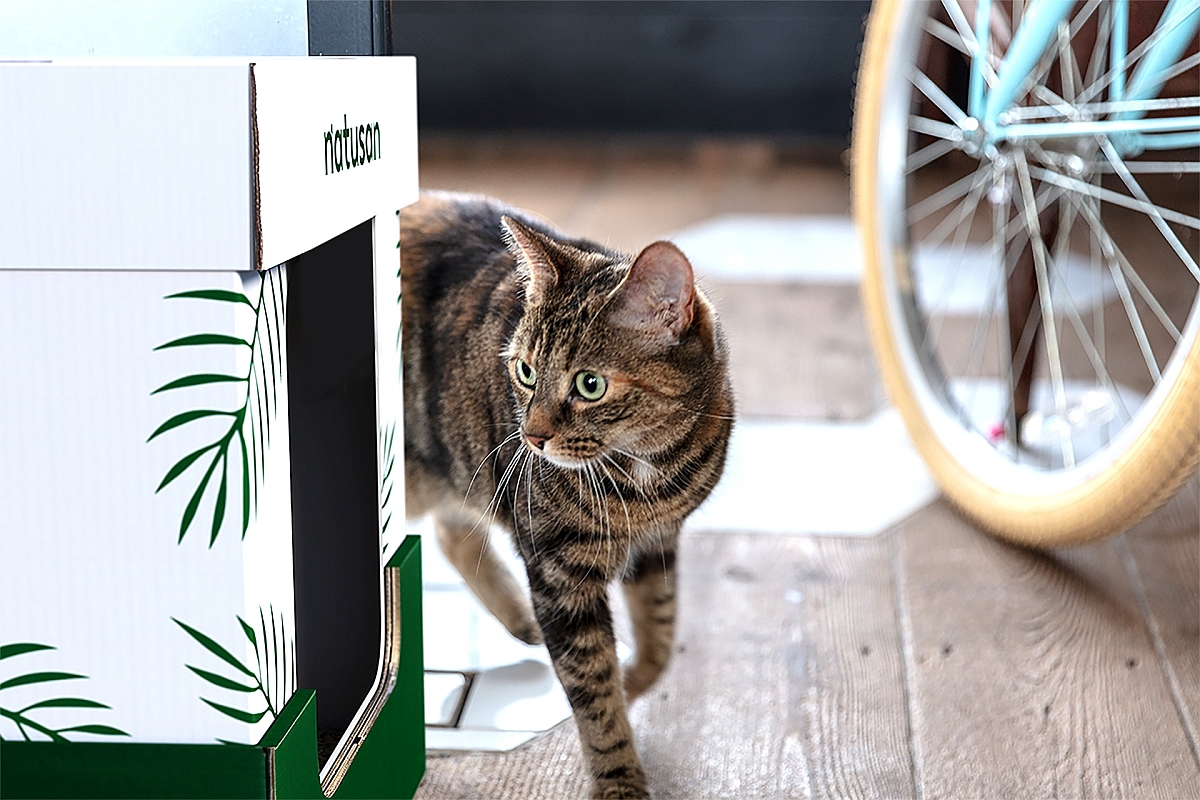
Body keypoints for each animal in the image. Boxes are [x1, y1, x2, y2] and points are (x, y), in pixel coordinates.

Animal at [400, 190, 729, 796]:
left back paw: (520, 622)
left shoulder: (658, 544)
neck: (646, 478)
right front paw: (620, 780)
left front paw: (633, 679)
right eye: (526, 372)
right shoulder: (559, 574)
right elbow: (593, 693)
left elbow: (661, 634)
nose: (531, 435)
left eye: (589, 384)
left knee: (452, 533)